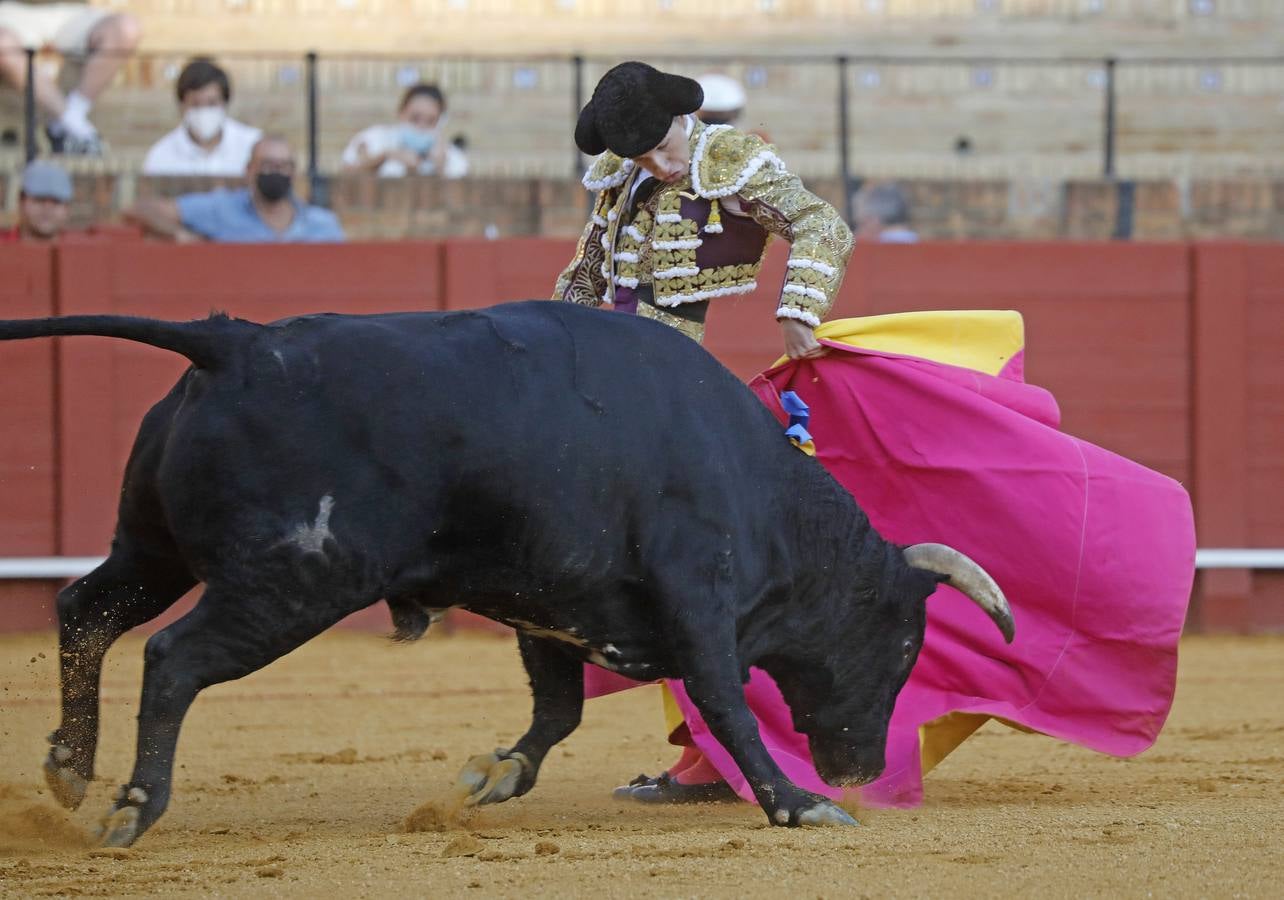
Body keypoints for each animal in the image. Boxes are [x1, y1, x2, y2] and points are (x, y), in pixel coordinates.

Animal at [0, 300, 1011, 842]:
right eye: (906, 645)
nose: (860, 770)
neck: (759, 485)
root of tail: (235, 342)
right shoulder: (698, 597)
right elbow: (724, 700)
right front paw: (798, 807)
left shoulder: (554, 603)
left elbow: (557, 711)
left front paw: (488, 779)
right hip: (293, 582)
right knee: (172, 658)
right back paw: (133, 808)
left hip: (155, 548)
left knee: (86, 609)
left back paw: (68, 769)